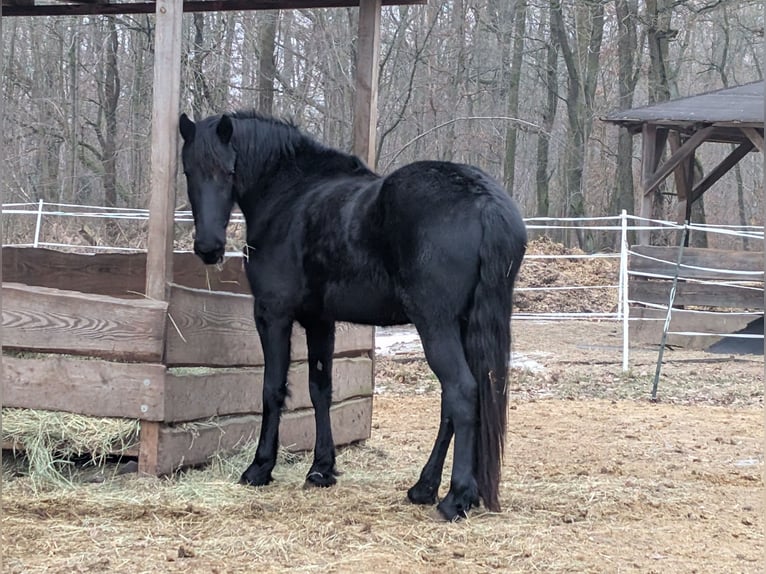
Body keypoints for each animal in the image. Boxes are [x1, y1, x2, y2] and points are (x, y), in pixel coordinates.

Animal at [178, 110, 527, 521]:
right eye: (189, 170)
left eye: (228, 171)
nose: (209, 248)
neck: (290, 195)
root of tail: (483, 199)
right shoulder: (319, 320)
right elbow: (320, 389)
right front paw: (321, 469)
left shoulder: (273, 314)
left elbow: (272, 389)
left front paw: (260, 467)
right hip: (462, 325)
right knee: (453, 402)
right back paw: (424, 487)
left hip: (435, 324)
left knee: (461, 392)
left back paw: (455, 497)